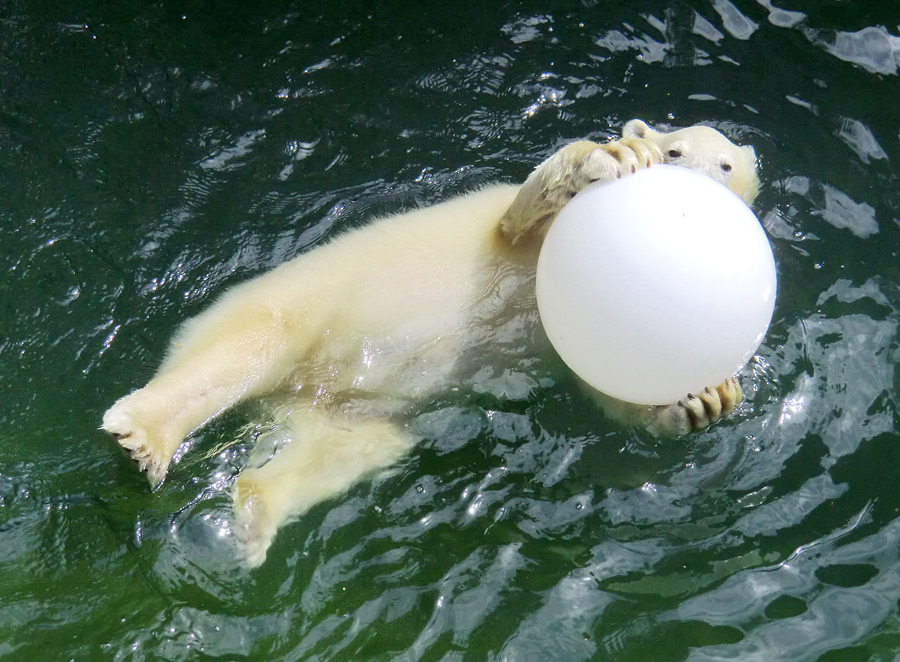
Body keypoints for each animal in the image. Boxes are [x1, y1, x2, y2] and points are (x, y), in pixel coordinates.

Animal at [100, 119, 760, 564]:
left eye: (727, 167)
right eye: (673, 151)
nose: (690, 188)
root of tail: (297, 395)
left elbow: (606, 383)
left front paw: (703, 399)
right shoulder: (517, 228)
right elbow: (521, 212)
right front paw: (613, 156)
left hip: (351, 414)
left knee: (350, 451)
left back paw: (254, 514)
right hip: (297, 302)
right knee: (245, 347)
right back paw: (143, 435)